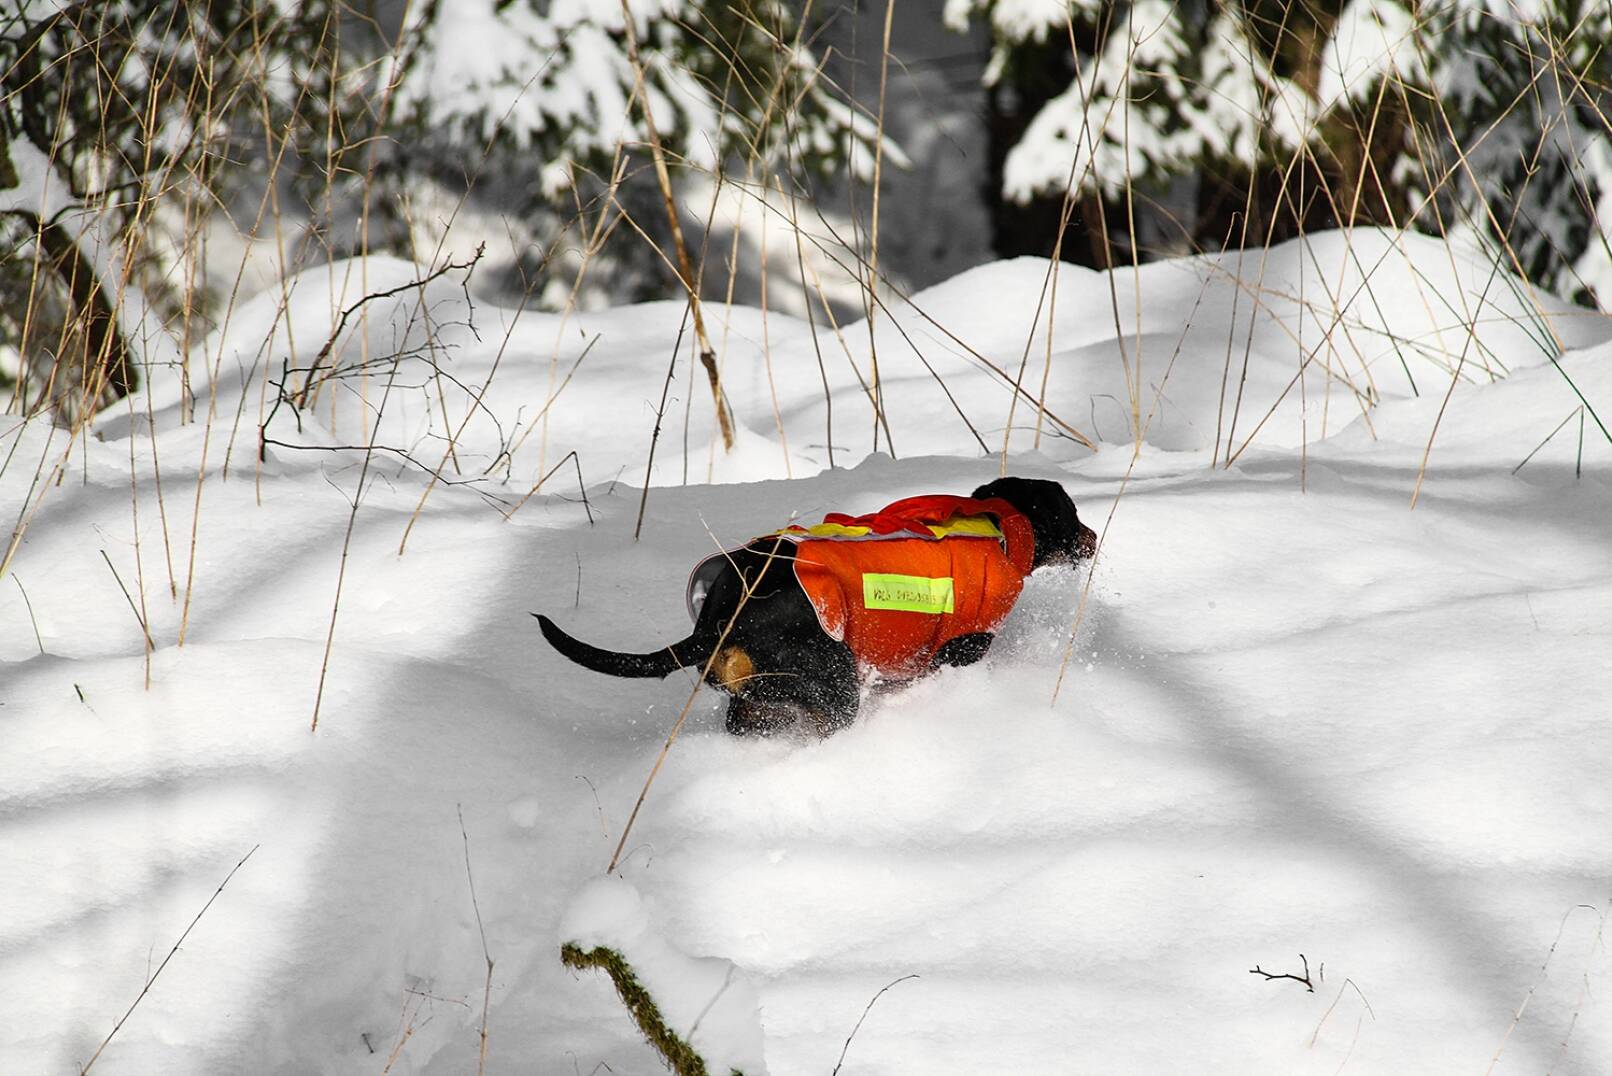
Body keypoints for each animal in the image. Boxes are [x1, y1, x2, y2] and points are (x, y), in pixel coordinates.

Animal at [538, 477, 1096, 735]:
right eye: (1072, 514)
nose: (1094, 538)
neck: (998, 527)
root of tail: (723, 613)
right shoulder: (960, 649)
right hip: (833, 682)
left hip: (757, 695)